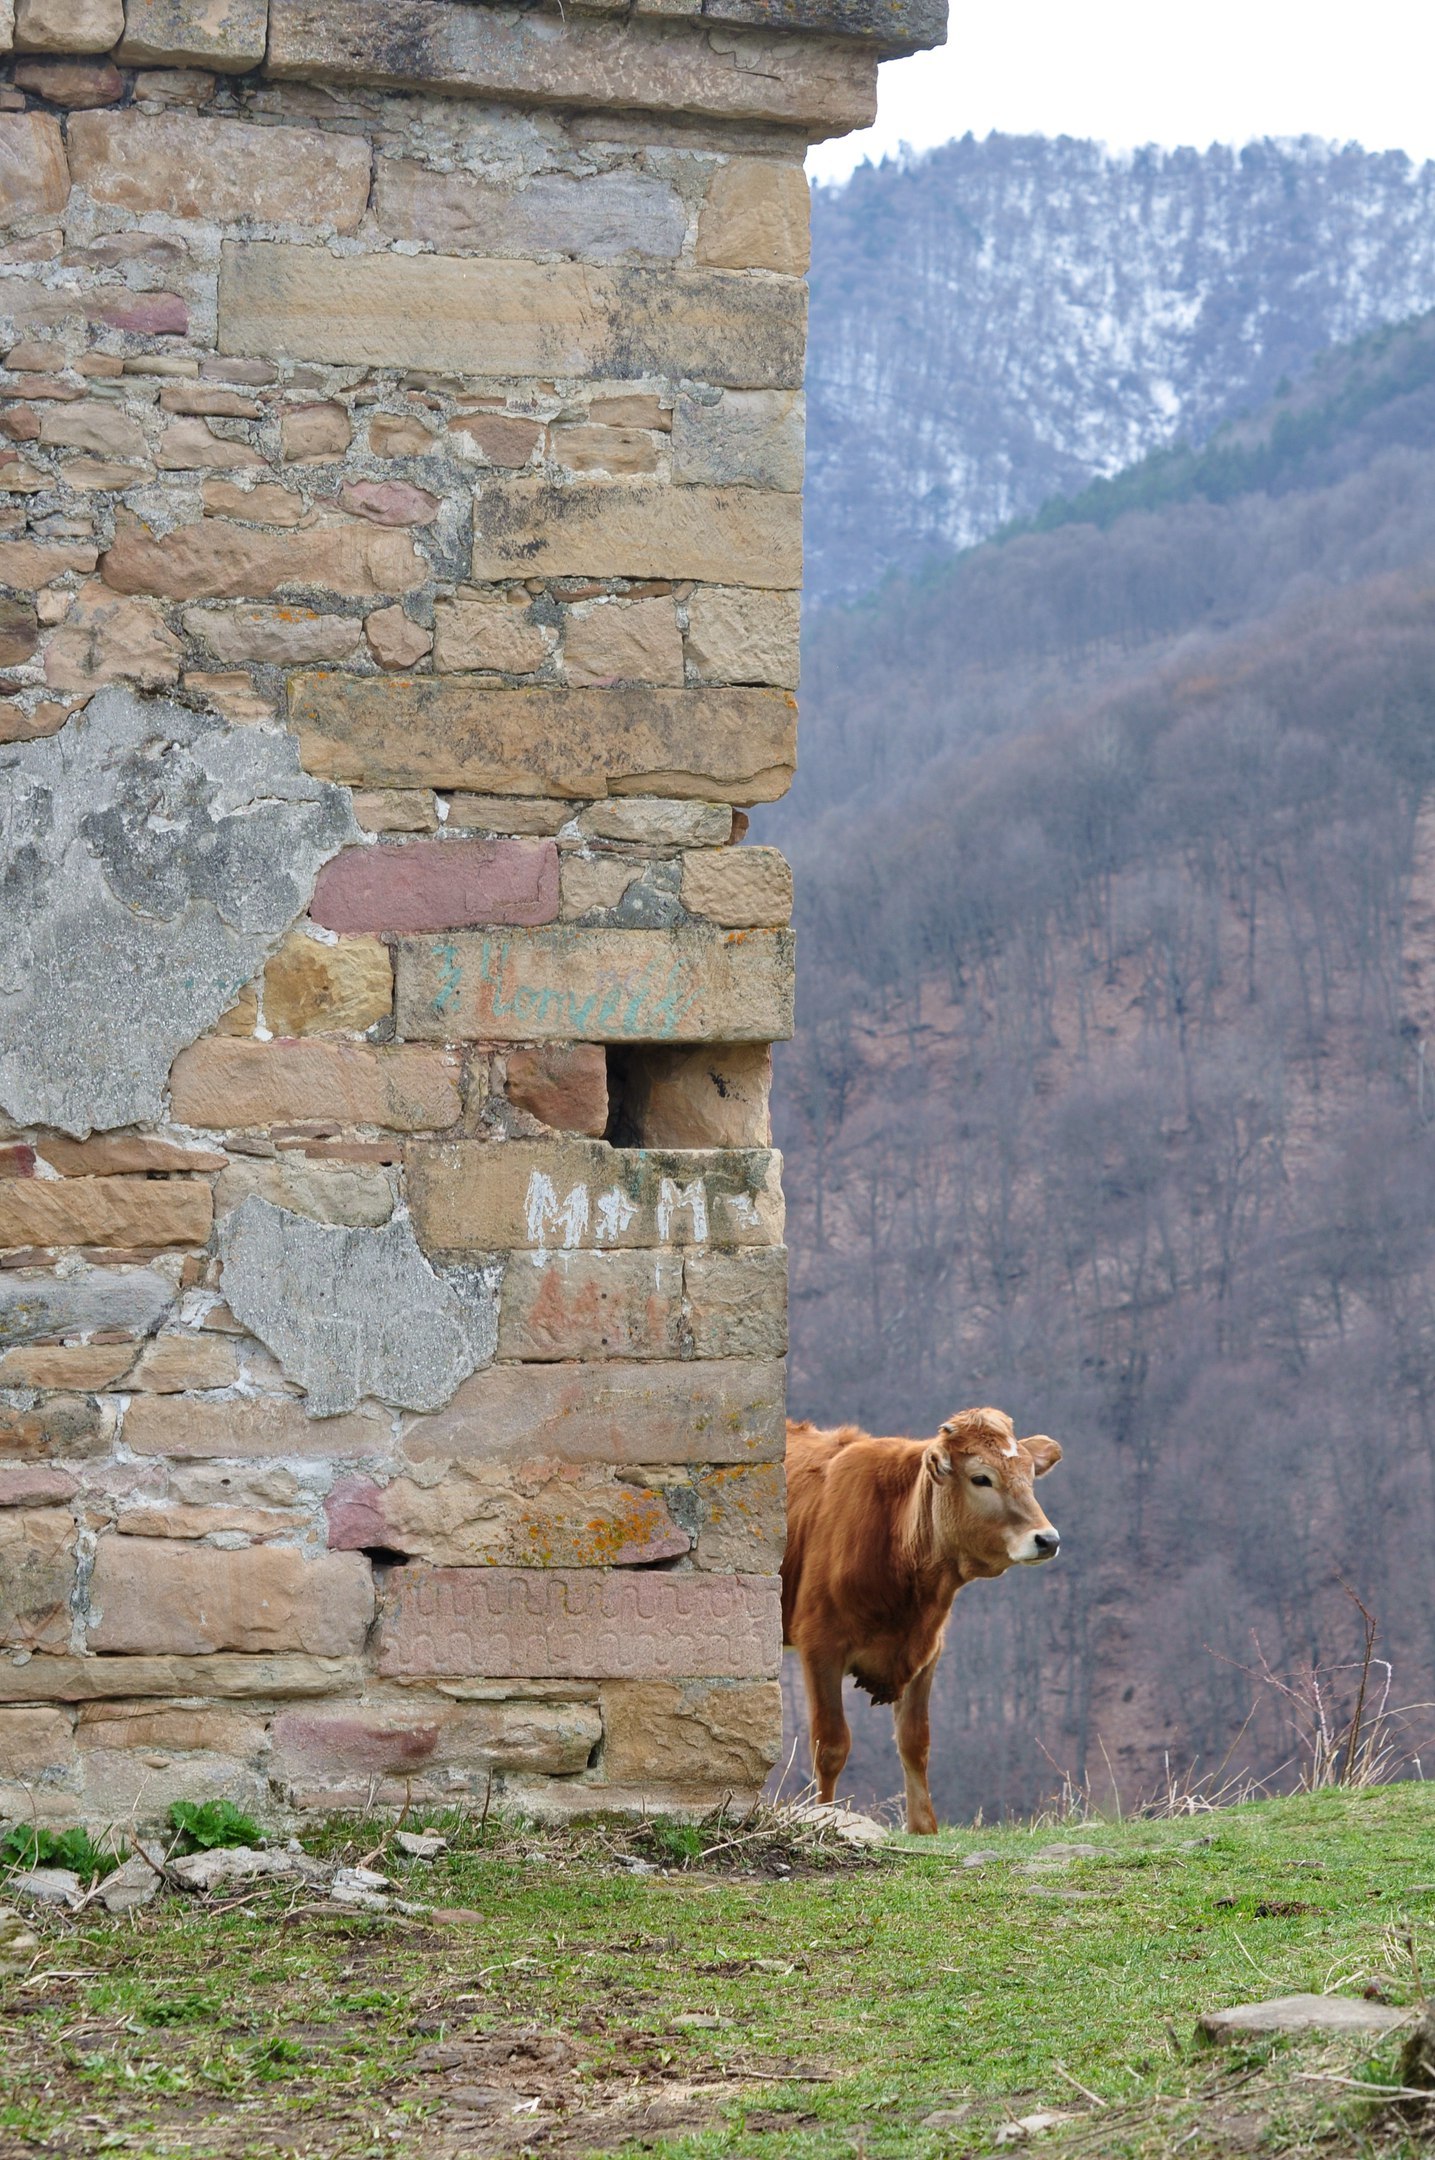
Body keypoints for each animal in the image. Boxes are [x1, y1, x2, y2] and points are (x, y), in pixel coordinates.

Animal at [778, 1408, 1058, 1831]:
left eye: (1029, 1476)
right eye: (981, 1478)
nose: (1047, 1539)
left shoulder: (927, 1650)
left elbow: (915, 1743)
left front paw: (924, 1829)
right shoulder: (819, 1646)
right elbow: (831, 1746)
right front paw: (825, 1817)